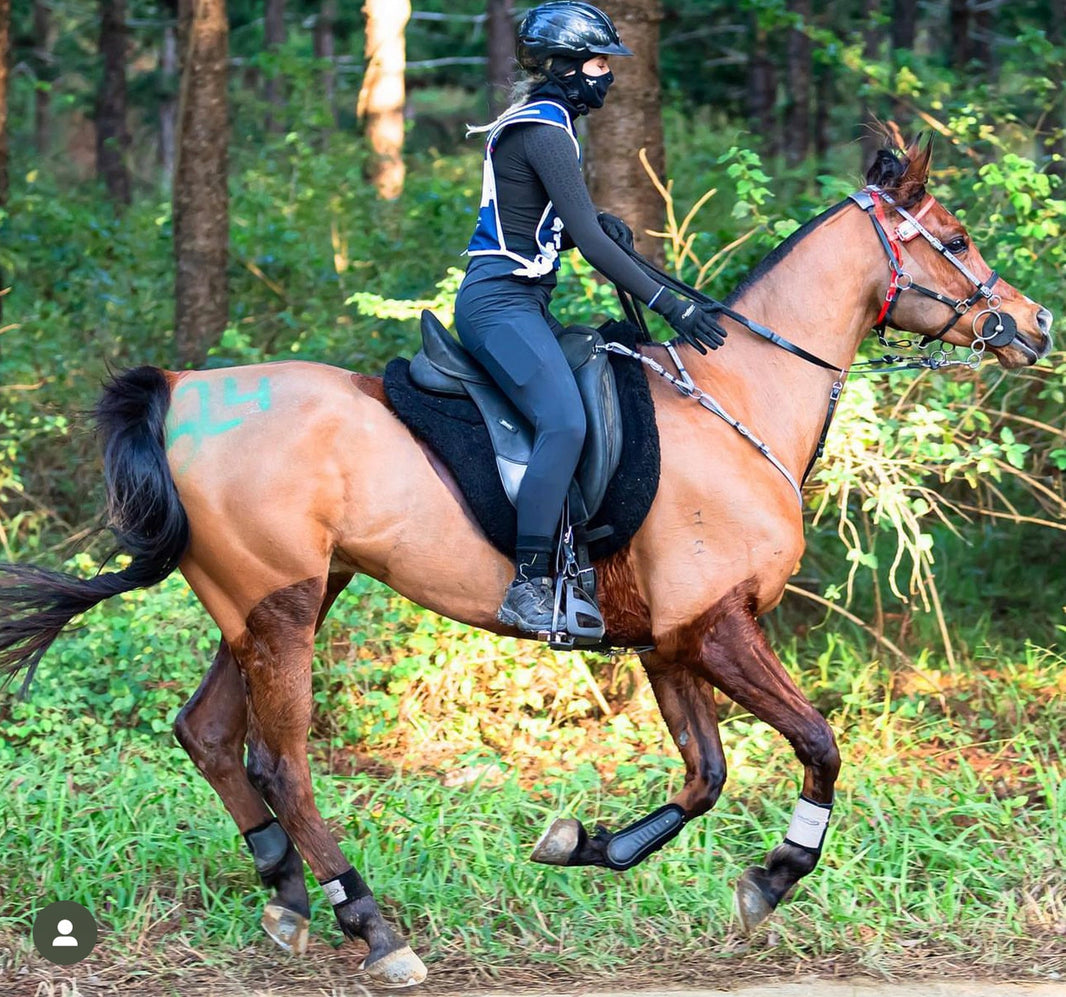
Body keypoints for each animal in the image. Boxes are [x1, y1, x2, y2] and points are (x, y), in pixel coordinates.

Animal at [0, 142, 1053, 988]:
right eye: (955, 238)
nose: (1036, 324)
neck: (736, 398)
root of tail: (182, 391)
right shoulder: (717, 626)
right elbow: (820, 744)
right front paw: (773, 876)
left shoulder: (670, 642)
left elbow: (704, 776)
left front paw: (583, 843)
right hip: (283, 608)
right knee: (282, 762)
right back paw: (371, 924)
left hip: (272, 600)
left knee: (210, 734)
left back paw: (290, 898)